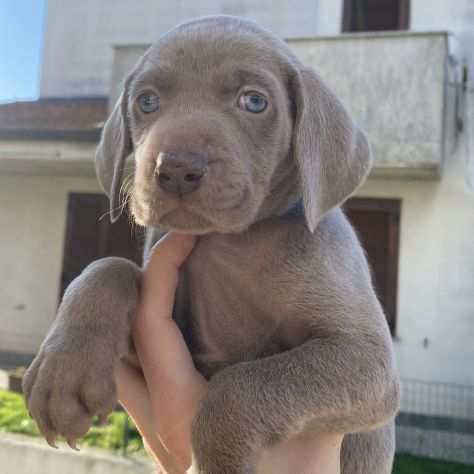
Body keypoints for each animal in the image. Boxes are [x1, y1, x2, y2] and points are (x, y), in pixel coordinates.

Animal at [23, 14, 400, 474]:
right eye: (147, 101)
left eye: (254, 101)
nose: (176, 169)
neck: (230, 245)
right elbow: (108, 267)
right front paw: (63, 371)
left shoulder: (369, 360)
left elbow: (237, 386)